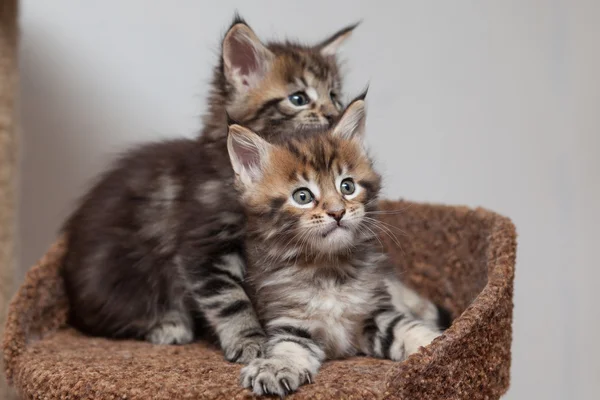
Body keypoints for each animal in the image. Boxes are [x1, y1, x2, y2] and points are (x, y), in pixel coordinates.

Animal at [61, 14, 356, 366]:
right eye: (298, 98)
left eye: (335, 96)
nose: (334, 113)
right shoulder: (204, 244)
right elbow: (232, 300)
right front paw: (250, 342)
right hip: (119, 275)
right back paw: (167, 325)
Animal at [227, 94, 442, 396]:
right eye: (302, 196)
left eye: (347, 187)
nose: (338, 212)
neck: (328, 269)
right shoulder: (290, 321)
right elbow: (288, 349)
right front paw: (274, 368)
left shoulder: (375, 313)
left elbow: (411, 329)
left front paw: (445, 343)